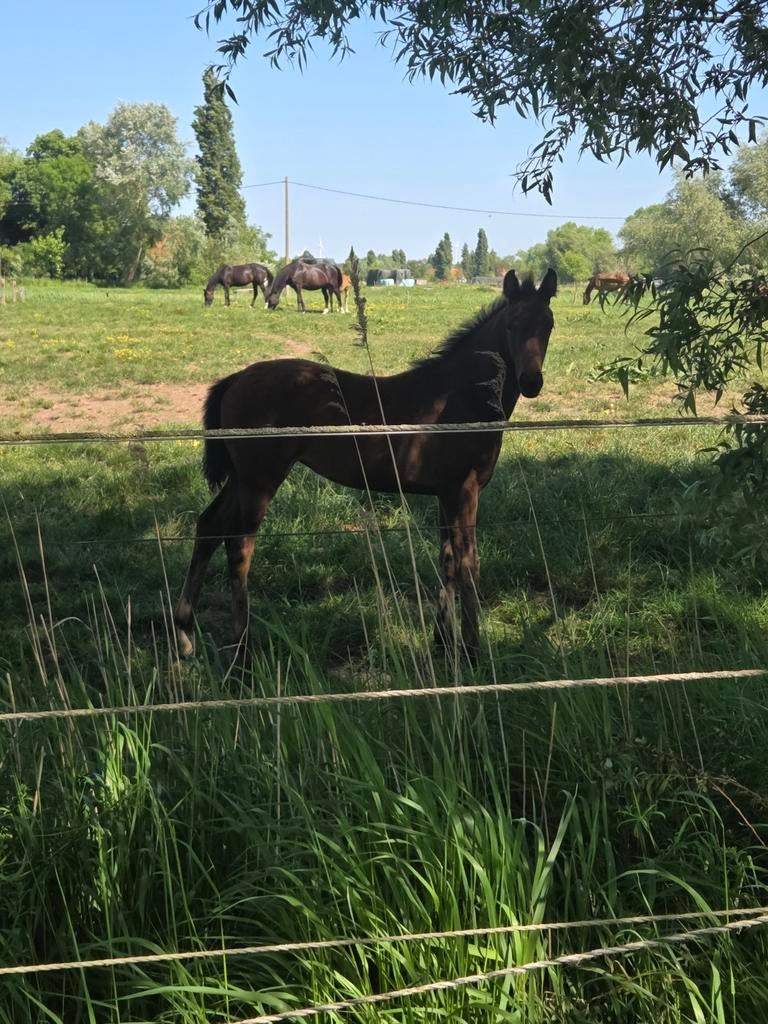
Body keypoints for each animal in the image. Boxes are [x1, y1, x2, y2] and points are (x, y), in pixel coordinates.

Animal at [174, 268, 558, 662]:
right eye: (512, 325)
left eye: (548, 324)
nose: (531, 382)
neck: (457, 396)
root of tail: (235, 379)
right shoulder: (465, 490)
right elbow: (469, 564)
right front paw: (472, 650)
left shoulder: (445, 493)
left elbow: (448, 560)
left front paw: (443, 640)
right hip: (260, 481)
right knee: (239, 547)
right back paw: (241, 650)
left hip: (241, 478)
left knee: (209, 528)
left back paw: (186, 635)